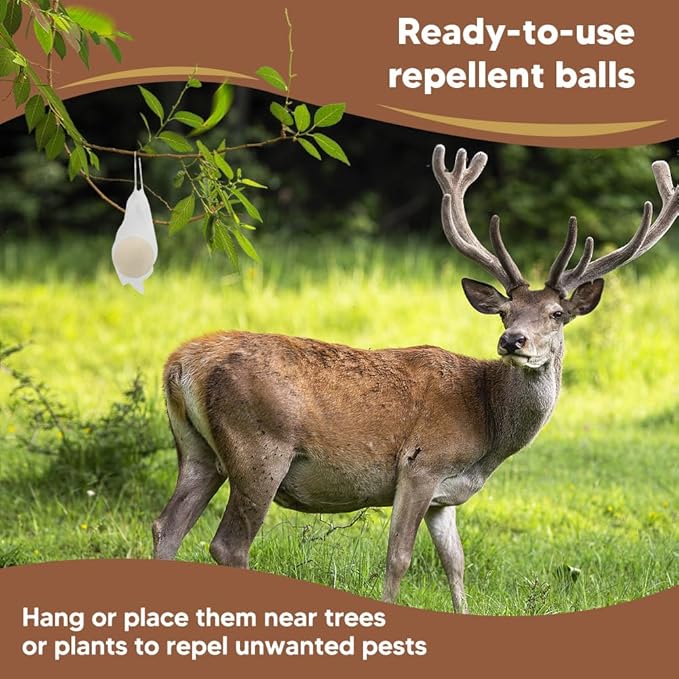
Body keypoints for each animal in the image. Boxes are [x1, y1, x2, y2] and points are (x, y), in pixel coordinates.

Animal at [152, 145, 678, 613]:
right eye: (505, 312)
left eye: (556, 313)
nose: (513, 341)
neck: (487, 427)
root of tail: (179, 365)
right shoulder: (421, 464)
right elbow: (399, 558)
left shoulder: (445, 497)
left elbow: (456, 564)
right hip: (260, 448)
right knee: (227, 545)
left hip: (197, 450)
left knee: (166, 525)